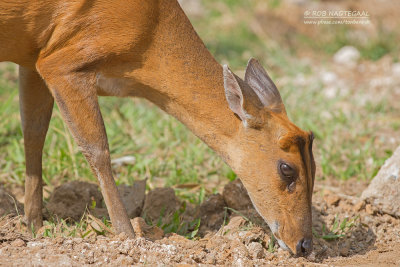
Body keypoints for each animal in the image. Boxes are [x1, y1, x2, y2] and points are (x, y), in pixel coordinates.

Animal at [1, 0, 316, 258]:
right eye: (287, 169)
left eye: (315, 166)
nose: (304, 245)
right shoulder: (62, 63)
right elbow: (98, 150)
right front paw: (129, 237)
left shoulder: (33, 59)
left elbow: (33, 133)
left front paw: (34, 225)